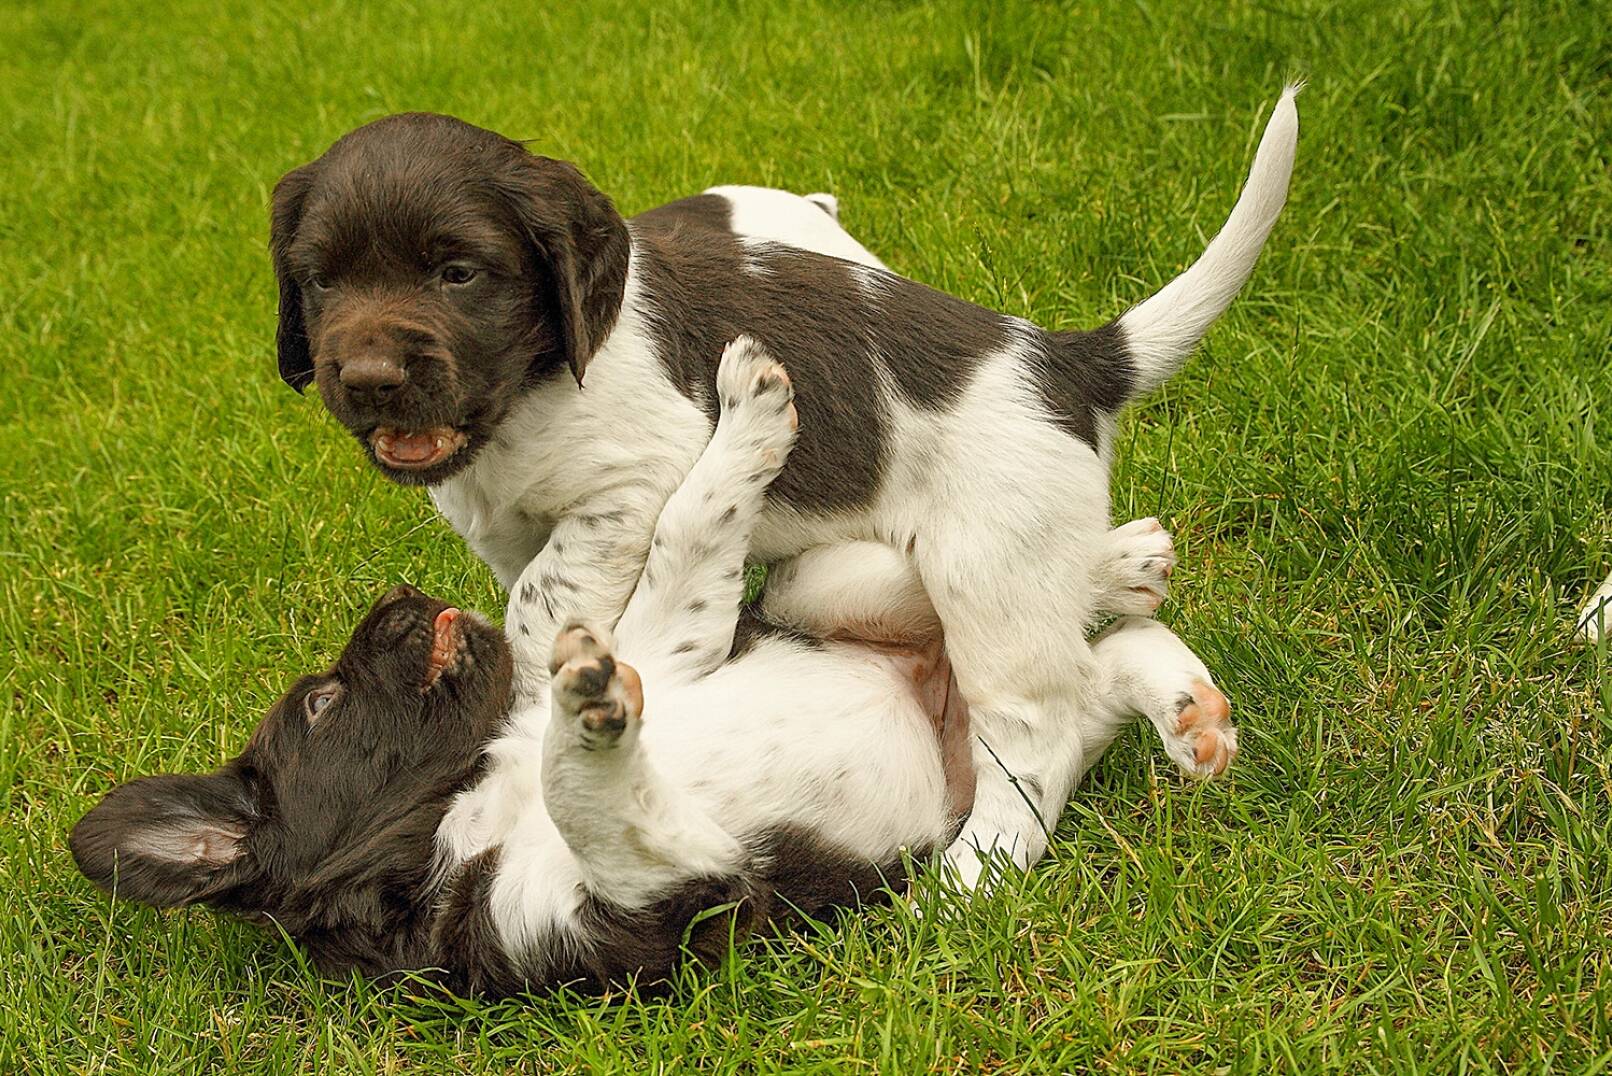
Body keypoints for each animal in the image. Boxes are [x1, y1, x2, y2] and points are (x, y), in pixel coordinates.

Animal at [66, 345, 1231, 1000]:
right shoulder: (661, 902)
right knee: (1079, 685)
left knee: (1011, 612)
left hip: (818, 586)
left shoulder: (675, 643)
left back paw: (1129, 578)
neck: (457, 804)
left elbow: (686, 528)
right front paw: (582, 714)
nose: (394, 599)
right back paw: (1185, 707)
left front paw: (748, 408)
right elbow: (587, 795)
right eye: (321, 704)